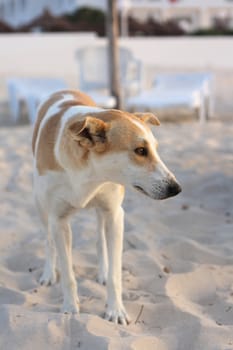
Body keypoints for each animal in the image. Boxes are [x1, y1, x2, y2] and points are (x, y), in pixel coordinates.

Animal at [31, 90, 181, 326]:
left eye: (156, 149)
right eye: (140, 150)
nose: (176, 188)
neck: (89, 174)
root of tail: (65, 91)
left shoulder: (115, 215)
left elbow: (115, 274)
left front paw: (115, 310)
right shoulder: (59, 221)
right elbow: (68, 273)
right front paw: (70, 308)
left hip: (102, 212)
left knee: (100, 241)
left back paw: (101, 271)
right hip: (40, 205)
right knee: (48, 240)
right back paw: (48, 273)